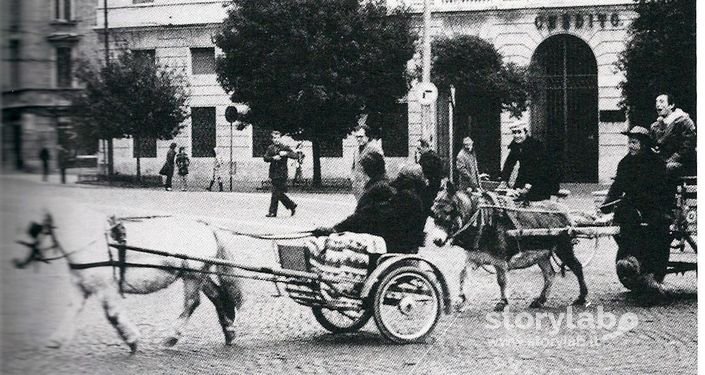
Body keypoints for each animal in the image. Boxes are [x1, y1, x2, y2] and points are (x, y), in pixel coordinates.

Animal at [15, 206, 242, 356]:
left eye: (35, 228)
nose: (15, 261)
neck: (93, 242)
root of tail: (206, 226)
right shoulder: (81, 286)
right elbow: (72, 310)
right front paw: (55, 340)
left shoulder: (105, 287)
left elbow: (113, 315)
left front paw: (131, 339)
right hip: (197, 274)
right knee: (217, 296)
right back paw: (229, 332)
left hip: (192, 276)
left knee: (192, 303)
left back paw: (171, 337)